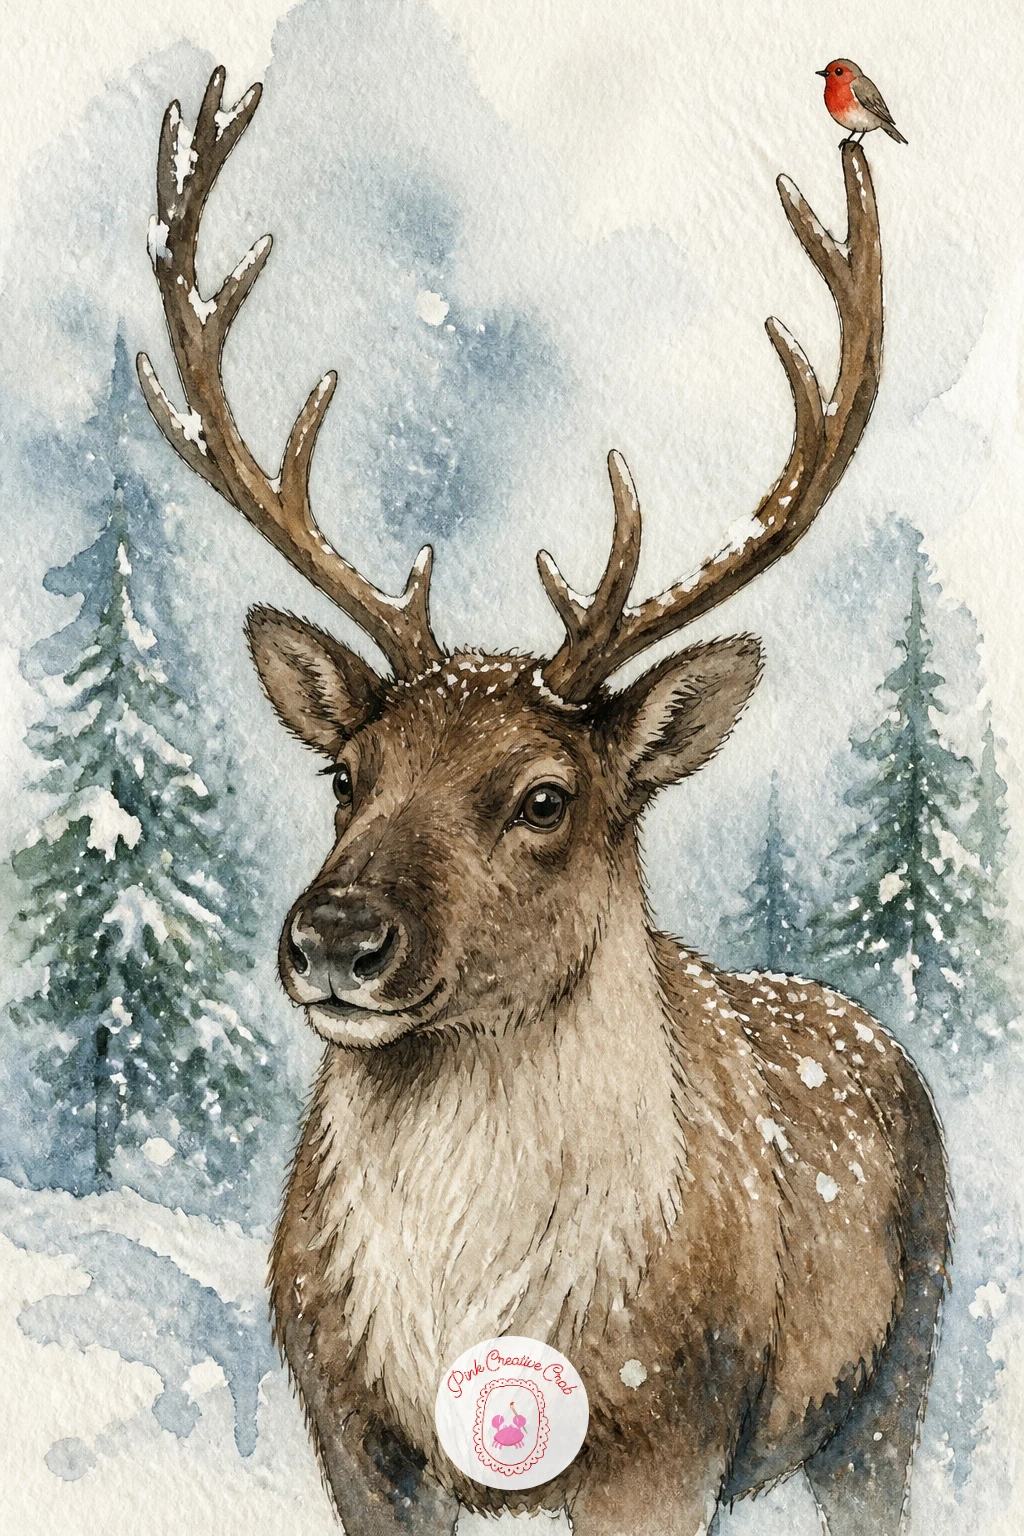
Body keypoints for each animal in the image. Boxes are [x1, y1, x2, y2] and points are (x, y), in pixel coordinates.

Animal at [137, 67, 950, 1536]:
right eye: (345, 775)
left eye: (543, 797)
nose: (336, 936)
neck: (471, 1309)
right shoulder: (348, 1423)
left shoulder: (668, 1434)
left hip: (889, 1387)